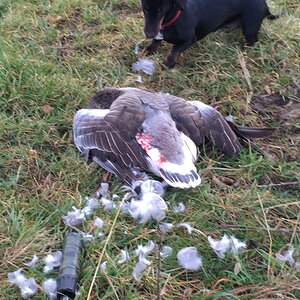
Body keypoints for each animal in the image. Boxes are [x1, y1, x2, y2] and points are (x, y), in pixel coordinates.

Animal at [142, 0, 280, 67]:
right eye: (145, 9)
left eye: (161, 10)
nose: (149, 33)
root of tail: (265, 5)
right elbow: (156, 41)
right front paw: (148, 49)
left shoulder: (189, 39)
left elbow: (174, 50)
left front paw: (168, 63)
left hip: (250, 29)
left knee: (253, 42)